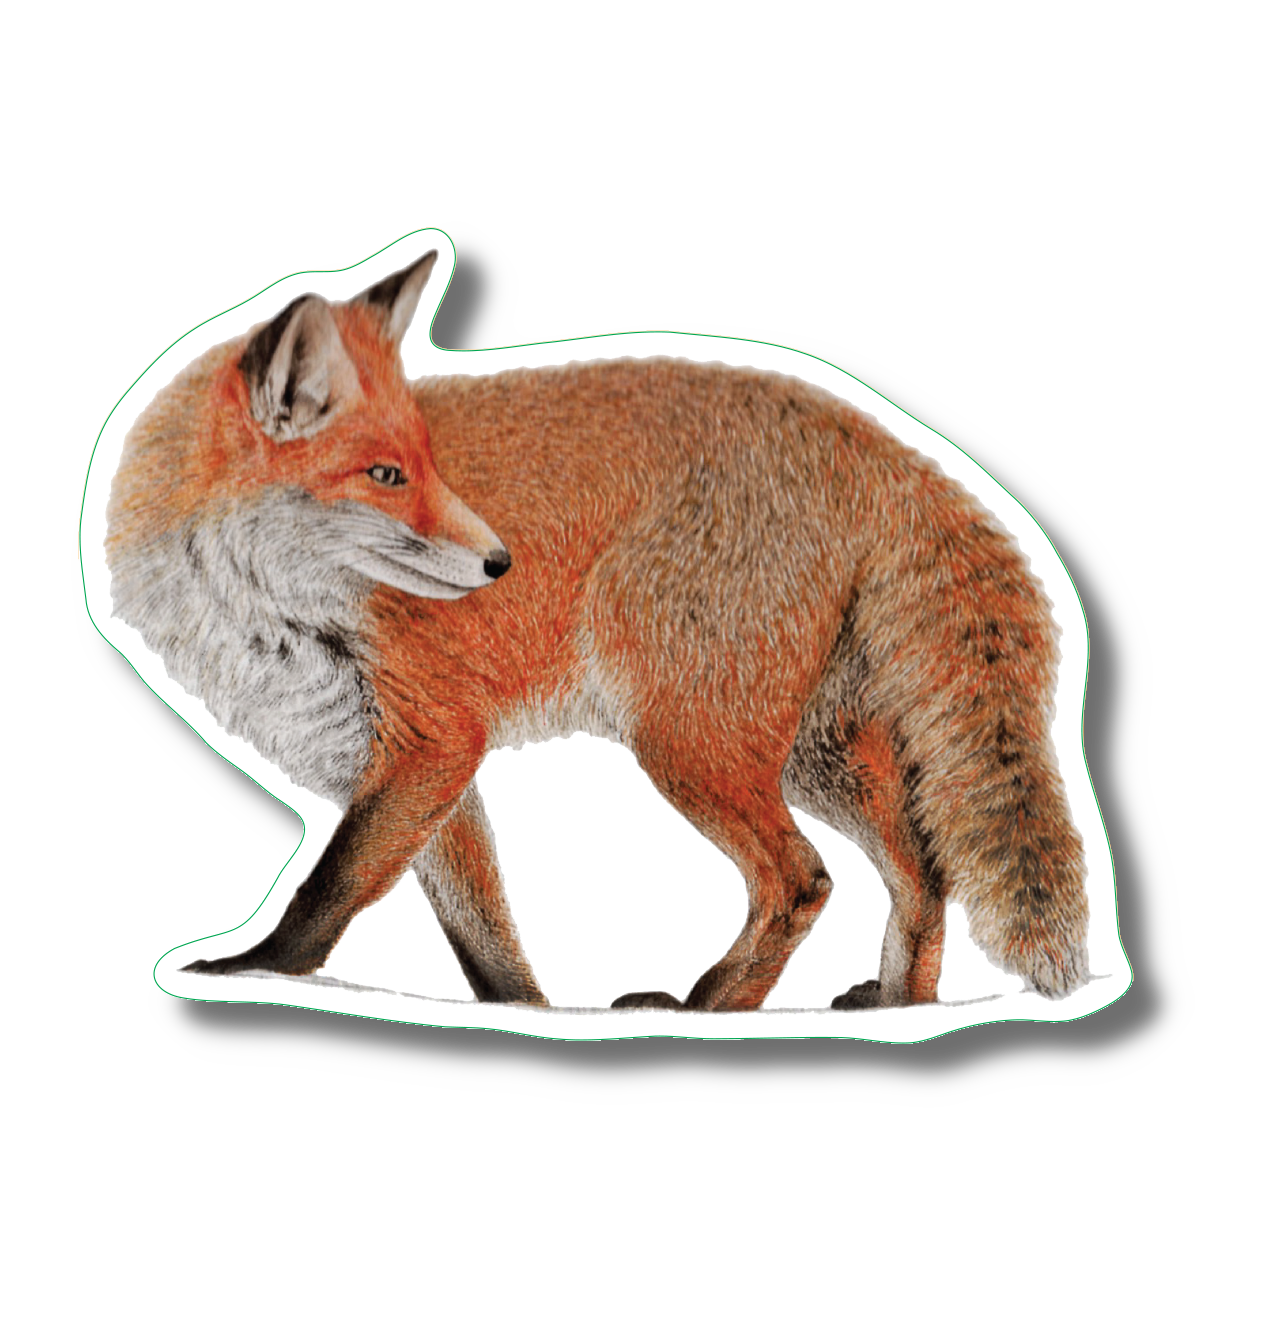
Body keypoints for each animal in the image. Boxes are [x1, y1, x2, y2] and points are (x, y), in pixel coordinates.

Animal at [105, 248, 1089, 1012]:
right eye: (386, 474)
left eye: (426, 466)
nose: (499, 563)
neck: (261, 606)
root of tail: (882, 444)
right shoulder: (416, 768)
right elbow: (484, 933)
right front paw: (526, 1013)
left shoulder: (434, 736)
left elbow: (332, 885)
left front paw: (256, 970)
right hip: (813, 752)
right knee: (924, 872)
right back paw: (898, 1004)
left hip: (686, 740)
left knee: (803, 879)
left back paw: (709, 1010)